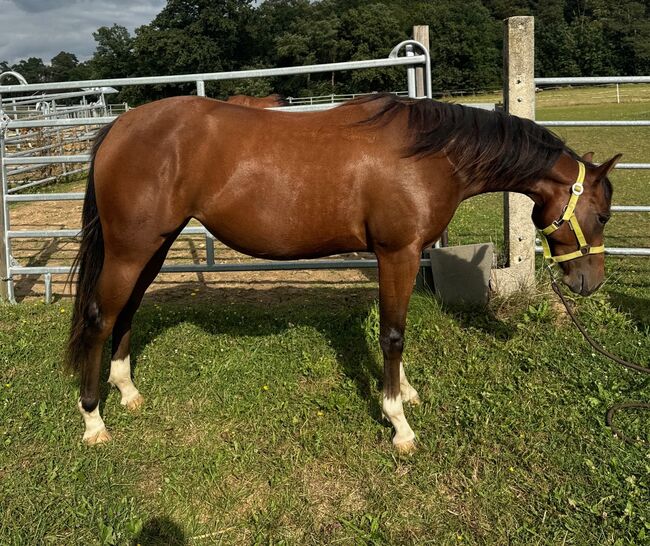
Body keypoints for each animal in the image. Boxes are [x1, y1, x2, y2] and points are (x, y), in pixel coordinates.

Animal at [64, 93, 616, 450]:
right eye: (604, 214)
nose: (588, 283)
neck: (431, 154)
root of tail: (119, 128)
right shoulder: (398, 252)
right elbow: (393, 333)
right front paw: (398, 423)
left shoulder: (398, 256)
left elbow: (393, 328)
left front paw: (404, 393)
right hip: (132, 249)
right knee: (99, 317)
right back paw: (92, 419)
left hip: (152, 247)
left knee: (126, 311)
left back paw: (127, 391)